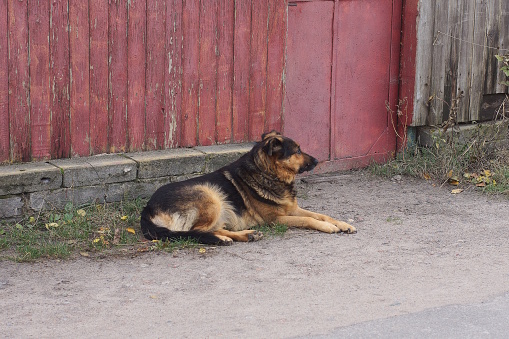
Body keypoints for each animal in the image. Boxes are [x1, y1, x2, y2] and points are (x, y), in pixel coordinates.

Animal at [138, 131, 354, 246]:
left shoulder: (292, 209)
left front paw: (342, 224)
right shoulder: (277, 219)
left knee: (214, 229)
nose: (317, 161)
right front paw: (329, 227)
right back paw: (225, 238)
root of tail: (147, 208)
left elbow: (322, 215)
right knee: (197, 231)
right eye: (298, 151)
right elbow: (308, 219)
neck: (268, 172)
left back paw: (247, 235)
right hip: (210, 196)